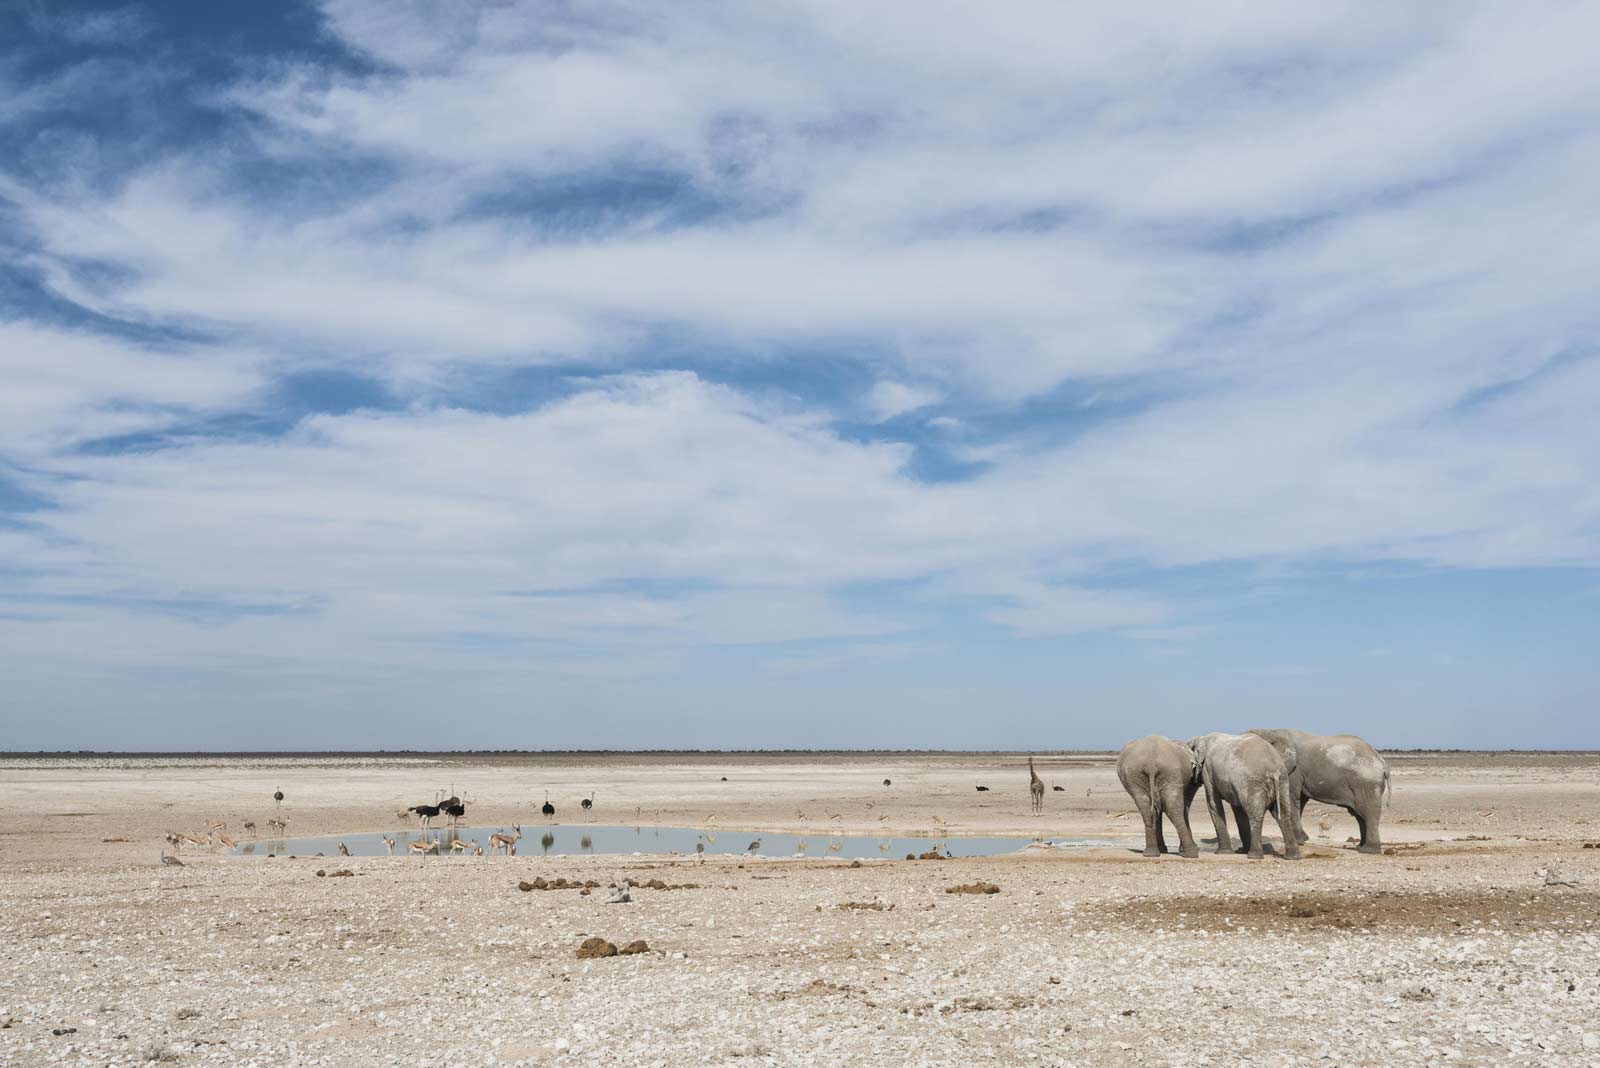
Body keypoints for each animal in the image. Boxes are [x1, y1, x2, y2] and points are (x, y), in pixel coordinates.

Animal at [1190, 729, 1299, 863]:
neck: (1203, 738)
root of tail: (1273, 770)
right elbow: (1238, 811)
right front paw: (1241, 851)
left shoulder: (1208, 771)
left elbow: (1213, 803)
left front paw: (1224, 853)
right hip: (1283, 781)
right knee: (1283, 815)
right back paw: (1293, 857)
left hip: (1252, 782)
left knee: (1255, 814)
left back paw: (1254, 855)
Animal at [1248, 725, 1388, 850]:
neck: (1271, 731)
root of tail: (1382, 762)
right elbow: (1300, 800)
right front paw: (1303, 839)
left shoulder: (1294, 770)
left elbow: (1292, 797)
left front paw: (1299, 841)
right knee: (1359, 815)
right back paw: (1360, 846)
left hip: (1367, 784)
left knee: (1368, 813)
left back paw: (1369, 850)